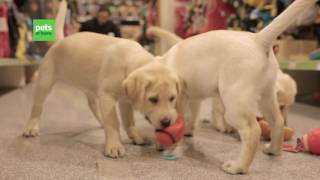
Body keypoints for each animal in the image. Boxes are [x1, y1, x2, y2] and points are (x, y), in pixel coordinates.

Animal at [23, 1, 181, 159]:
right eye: (153, 99)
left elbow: (129, 121)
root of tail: (61, 41)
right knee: (37, 106)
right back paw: (31, 127)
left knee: (93, 105)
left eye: (172, 98)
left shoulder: (125, 99)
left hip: (91, 87)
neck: (131, 60)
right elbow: (113, 122)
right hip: (44, 82)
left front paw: (136, 136)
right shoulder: (108, 96)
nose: (167, 122)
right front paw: (114, 146)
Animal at [149, 0, 314, 174]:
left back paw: (237, 167)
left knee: (252, 131)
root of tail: (257, 39)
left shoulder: (179, 100)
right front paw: (186, 131)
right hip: (267, 96)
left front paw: (164, 144)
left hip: (235, 103)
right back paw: (273, 150)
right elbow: (190, 116)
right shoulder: (193, 98)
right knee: (278, 121)